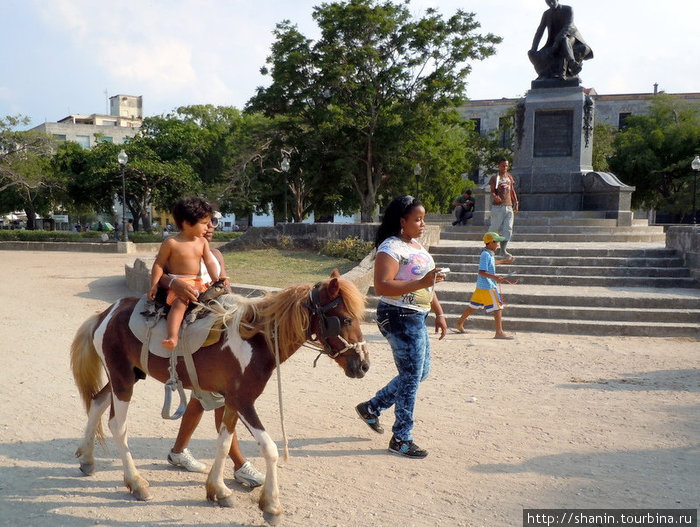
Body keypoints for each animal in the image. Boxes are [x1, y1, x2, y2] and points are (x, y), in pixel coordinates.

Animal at [69, 270, 366, 524]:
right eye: (346, 319)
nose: (363, 365)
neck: (255, 339)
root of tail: (106, 313)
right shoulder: (245, 401)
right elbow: (269, 448)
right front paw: (271, 505)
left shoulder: (232, 401)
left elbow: (224, 443)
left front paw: (218, 489)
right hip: (122, 380)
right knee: (117, 426)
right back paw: (136, 482)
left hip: (126, 376)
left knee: (96, 403)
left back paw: (87, 459)